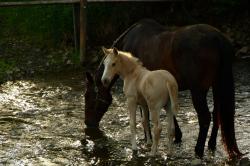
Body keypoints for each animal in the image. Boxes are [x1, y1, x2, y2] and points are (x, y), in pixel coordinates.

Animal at [84, 18, 242, 159]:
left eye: (88, 97)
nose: (88, 123)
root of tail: (218, 39)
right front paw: (175, 137)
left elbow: (145, 119)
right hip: (217, 86)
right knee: (217, 114)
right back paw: (211, 144)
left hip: (198, 91)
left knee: (205, 117)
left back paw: (198, 150)